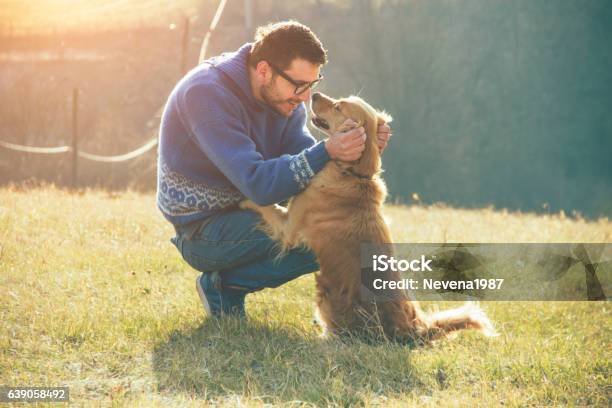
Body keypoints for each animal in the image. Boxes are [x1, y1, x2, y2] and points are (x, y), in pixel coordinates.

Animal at [239, 92, 498, 344]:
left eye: (338, 107)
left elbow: (265, 205)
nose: (314, 94)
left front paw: (241, 197)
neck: (352, 173)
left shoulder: (289, 228)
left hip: (326, 295)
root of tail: (415, 330)